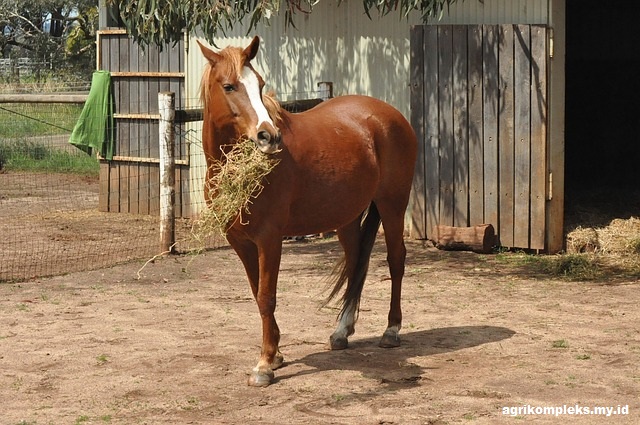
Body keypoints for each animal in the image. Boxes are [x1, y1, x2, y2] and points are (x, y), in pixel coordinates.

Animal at [201, 36, 420, 386]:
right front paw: (276, 354)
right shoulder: (240, 242)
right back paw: (342, 331)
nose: (268, 136)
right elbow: (256, 292)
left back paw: (391, 330)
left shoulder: (269, 239)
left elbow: (267, 296)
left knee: (396, 260)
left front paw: (264, 365)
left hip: (393, 205)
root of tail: (390, 115)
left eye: (259, 84)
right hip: (347, 217)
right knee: (356, 263)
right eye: (229, 86)